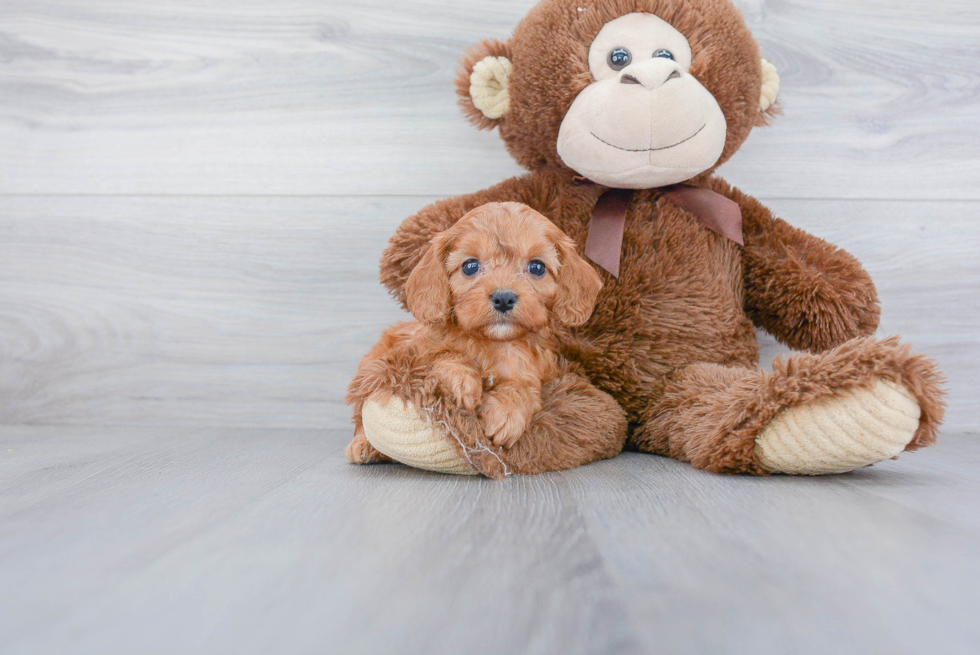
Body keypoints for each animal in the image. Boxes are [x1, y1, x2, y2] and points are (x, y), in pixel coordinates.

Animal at [344, 202, 604, 464]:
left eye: (537, 267)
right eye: (470, 266)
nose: (503, 298)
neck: (493, 342)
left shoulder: (535, 370)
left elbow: (524, 385)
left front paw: (506, 413)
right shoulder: (409, 355)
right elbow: (443, 354)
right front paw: (462, 380)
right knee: (360, 417)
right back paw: (363, 445)